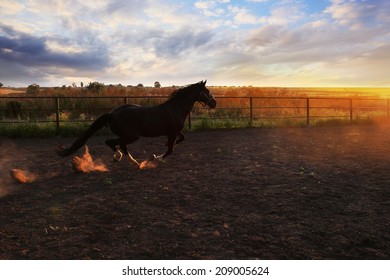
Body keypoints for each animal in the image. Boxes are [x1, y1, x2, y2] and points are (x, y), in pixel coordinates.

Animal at [56, 80, 216, 167]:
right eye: (207, 91)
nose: (214, 103)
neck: (175, 108)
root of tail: (111, 113)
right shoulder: (171, 133)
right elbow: (170, 150)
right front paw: (156, 158)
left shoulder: (174, 132)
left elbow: (181, 139)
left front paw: (156, 154)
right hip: (132, 136)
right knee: (113, 143)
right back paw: (121, 158)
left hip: (128, 136)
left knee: (120, 145)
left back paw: (132, 161)